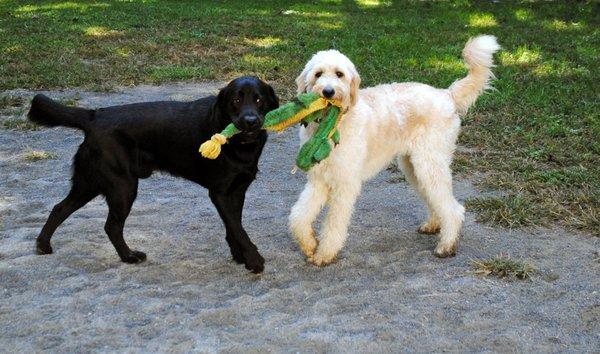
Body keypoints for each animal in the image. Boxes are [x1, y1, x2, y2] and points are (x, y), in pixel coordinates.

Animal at [27, 76, 278, 272]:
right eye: (236, 100)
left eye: (259, 99)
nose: (250, 121)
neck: (239, 144)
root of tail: (94, 116)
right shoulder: (220, 193)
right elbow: (238, 228)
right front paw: (254, 260)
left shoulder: (238, 190)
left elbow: (233, 226)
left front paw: (240, 256)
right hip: (122, 186)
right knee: (111, 226)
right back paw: (129, 257)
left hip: (89, 183)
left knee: (60, 208)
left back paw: (43, 245)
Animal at [288, 34, 500, 266]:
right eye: (318, 74)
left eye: (339, 74)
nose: (328, 91)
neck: (333, 125)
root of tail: (446, 94)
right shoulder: (318, 180)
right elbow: (298, 215)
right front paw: (309, 244)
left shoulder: (345, 184)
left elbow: (334, 223)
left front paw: (325, 253)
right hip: (414, 168)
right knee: (436, 200)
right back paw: (434, 225)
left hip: (429, 165)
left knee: (454, 208)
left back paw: (447, 245)